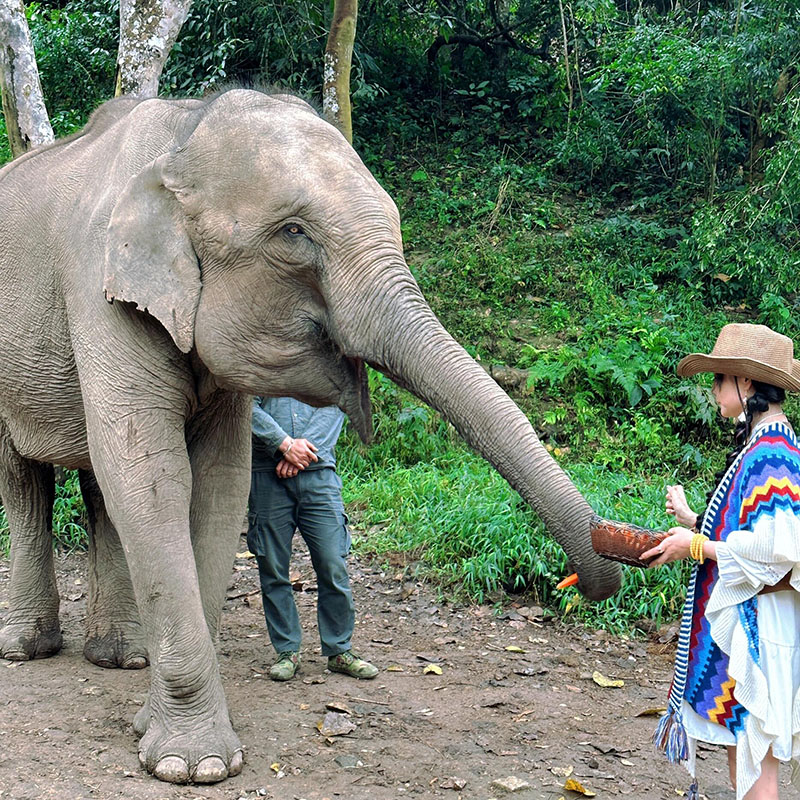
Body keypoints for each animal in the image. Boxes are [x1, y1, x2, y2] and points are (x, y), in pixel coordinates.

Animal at [0, 88, 620, 784]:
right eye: (294, 234)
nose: (582, 582)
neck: (184, 132)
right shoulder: (100, 294)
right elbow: (151, 475)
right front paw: (194, 766)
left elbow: (216, 483)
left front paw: (152, 729)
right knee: (22, 480)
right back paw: (27, 649)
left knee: (95, 487)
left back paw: (121, 656)